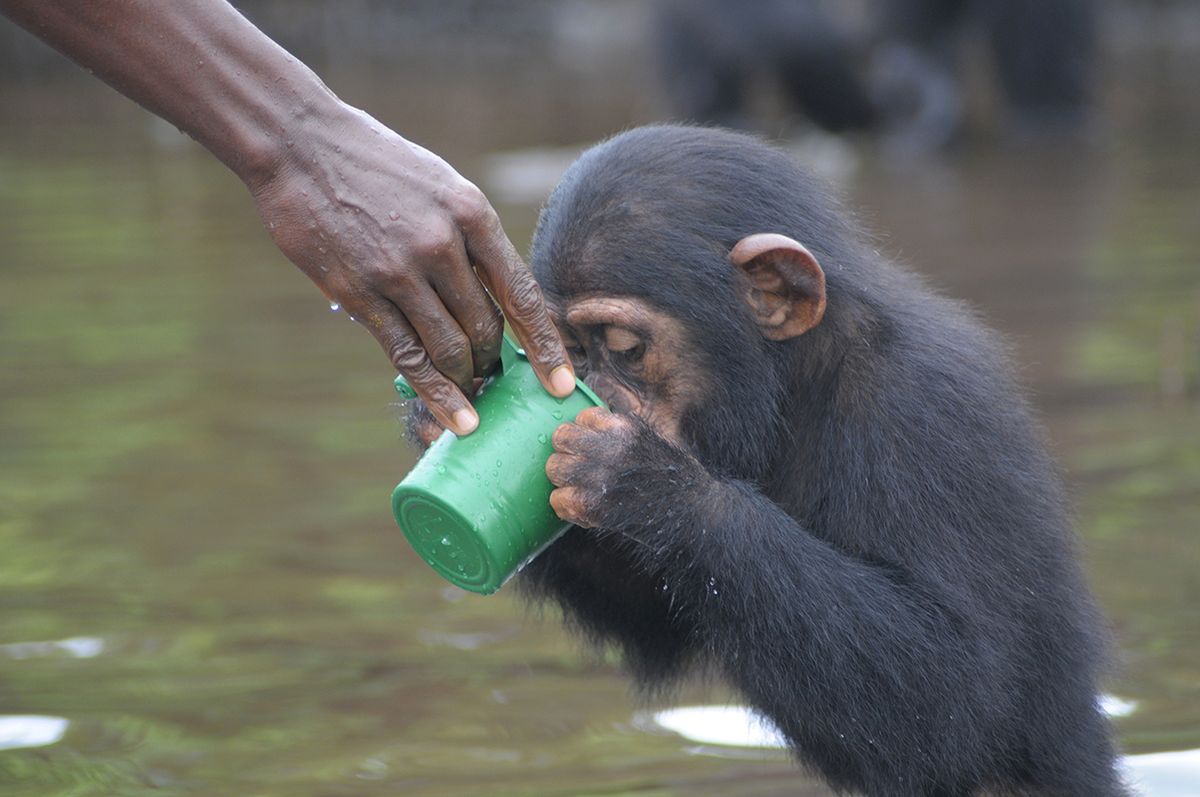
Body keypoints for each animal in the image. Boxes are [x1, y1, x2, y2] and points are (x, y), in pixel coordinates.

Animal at [410, 126, 1123, 797]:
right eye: (572, 351)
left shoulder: (924, 416)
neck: (794, 384)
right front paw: (436, 414)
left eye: (624, 347)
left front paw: (646, 484)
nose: (594, 394)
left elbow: (959, 689)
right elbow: (655, 620)